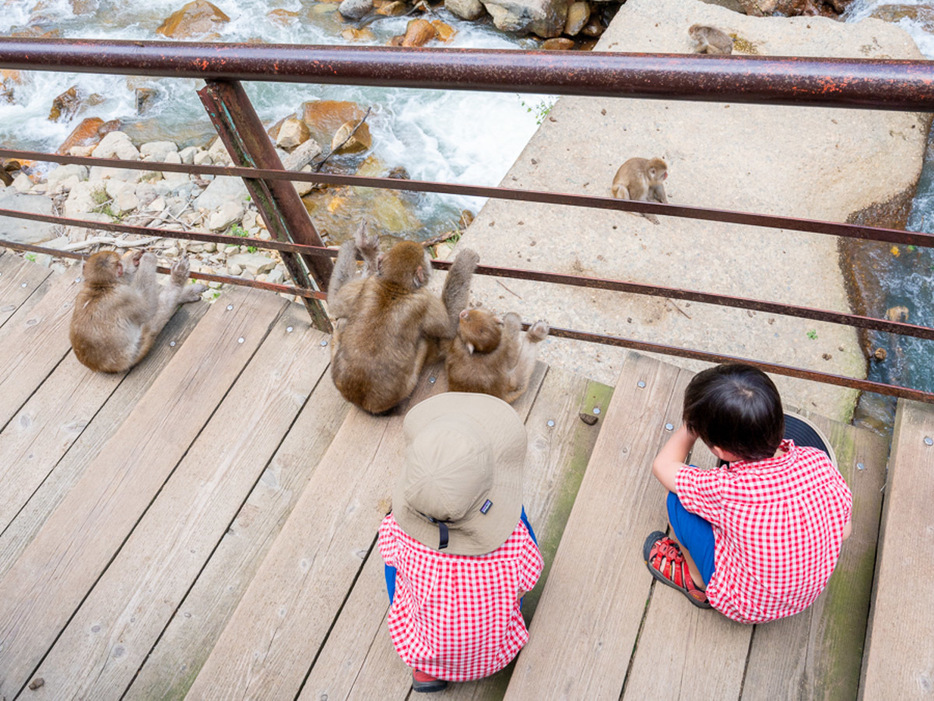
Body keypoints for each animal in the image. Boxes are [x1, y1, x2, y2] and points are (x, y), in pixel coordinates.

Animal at [71, 250, 207, 374]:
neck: (100, 285)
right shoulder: (124, 296)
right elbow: (148, 307)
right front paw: (148, 259)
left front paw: (134, 258)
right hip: (138, 349)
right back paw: (178, 279)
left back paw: (184, 294)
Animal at [330, 228, 478, 416]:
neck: (395, 283)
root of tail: (362, 402)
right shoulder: (424, 298)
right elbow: (450, 327)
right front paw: (465, 260)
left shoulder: (370, 282)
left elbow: (334, 303)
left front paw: (361, 249)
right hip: (409, 383)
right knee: (424, 341)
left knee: (341, 321)